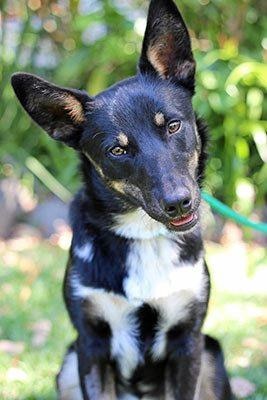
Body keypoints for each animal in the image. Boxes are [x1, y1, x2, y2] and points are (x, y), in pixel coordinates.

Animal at [11, 0, 232, 400]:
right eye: (118, 150)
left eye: (172, 126)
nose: (179, 203)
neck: (143, 237)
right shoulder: (91, 344)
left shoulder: (188, 342)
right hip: (68, 366)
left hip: (211, 356)